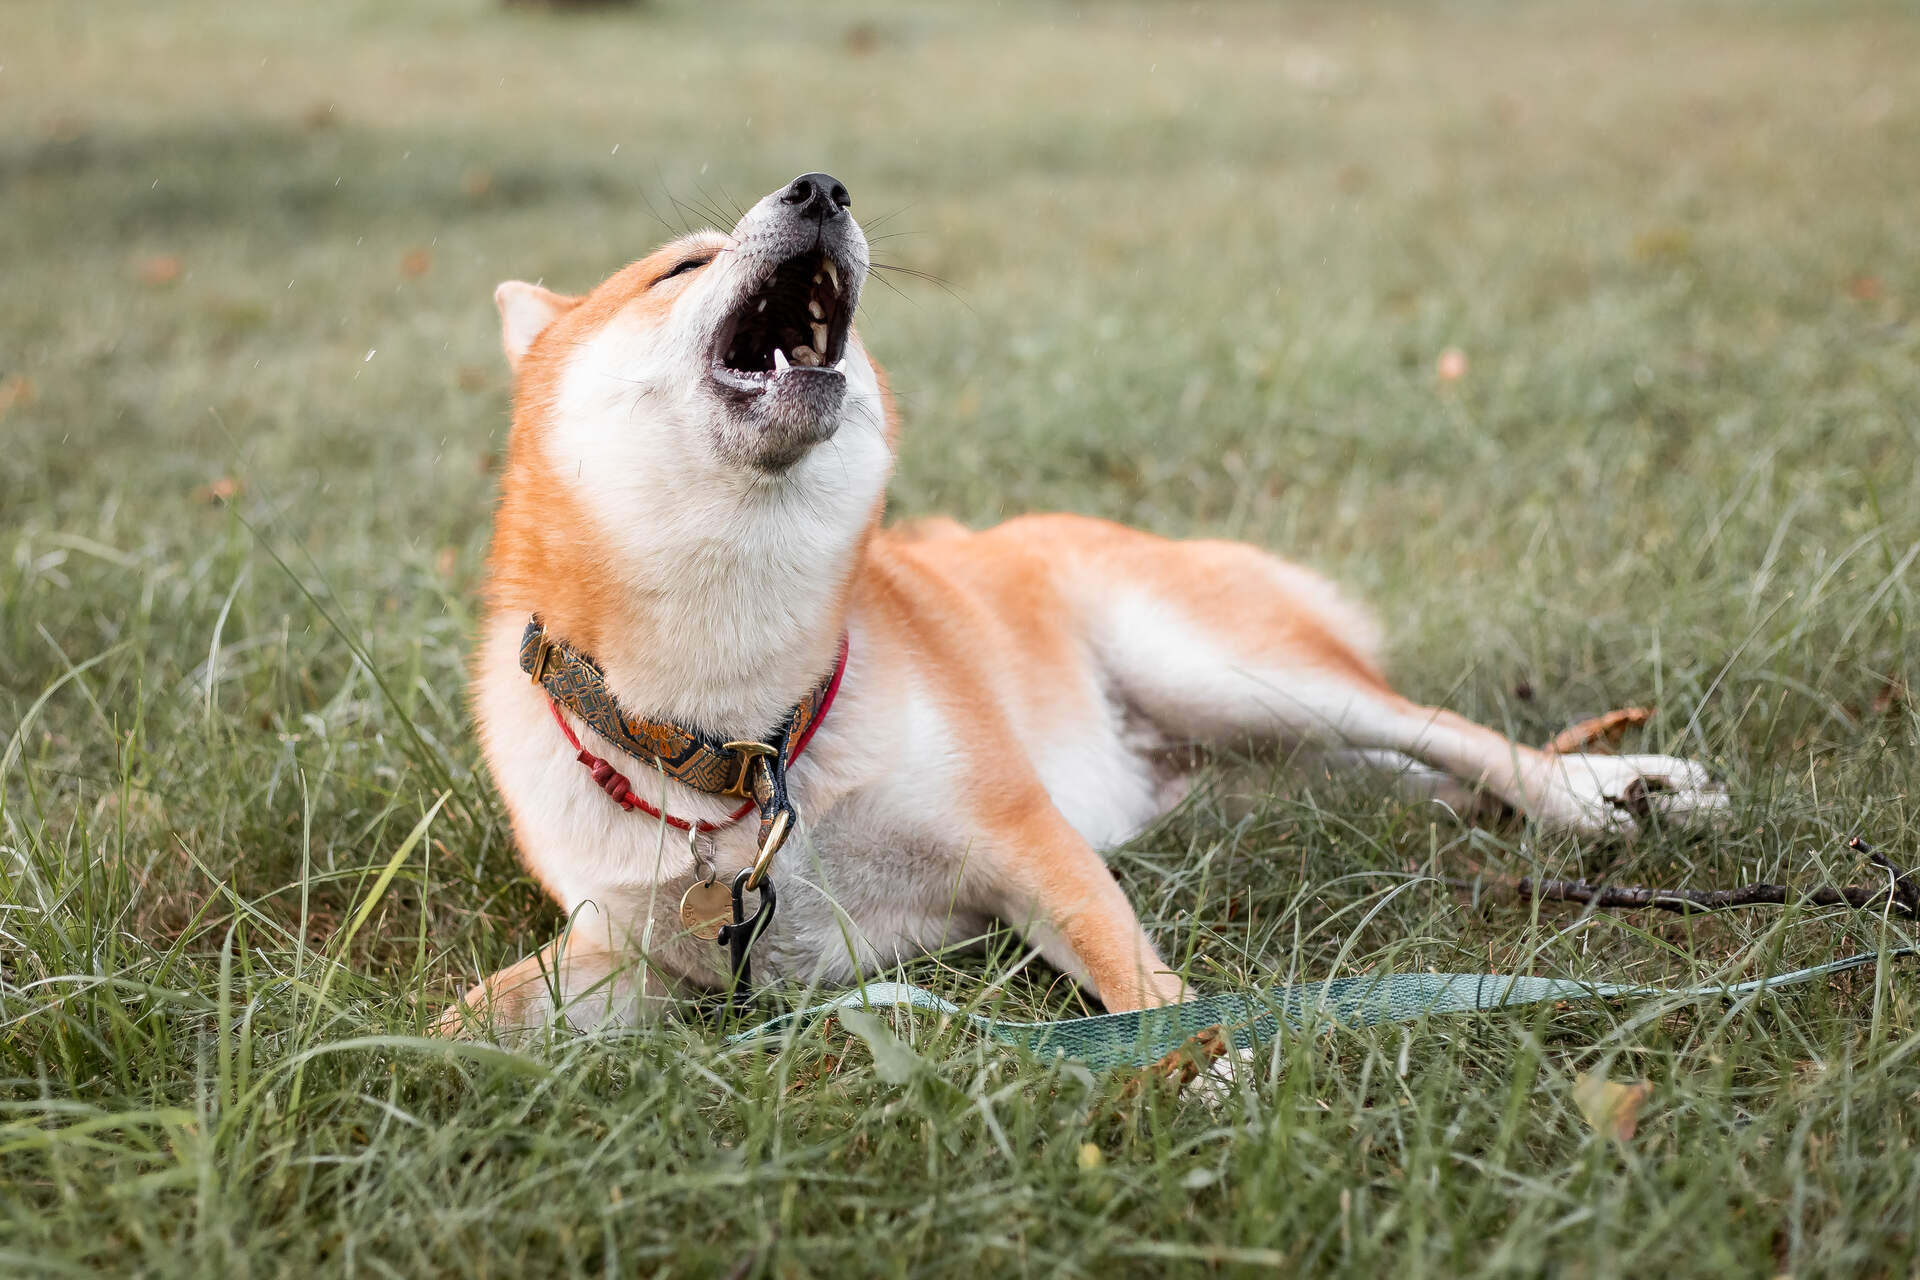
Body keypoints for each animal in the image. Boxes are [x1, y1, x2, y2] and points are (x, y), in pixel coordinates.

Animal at [435, 175, 1728, 1036]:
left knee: (1453, 734)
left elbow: (1134, 981)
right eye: (677, 267)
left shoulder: (1026, 840)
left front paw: (1197, 1066)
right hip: (1260, 754)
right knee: (1404, 773)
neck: (747, 745)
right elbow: (470, 1020)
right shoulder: (623, 944)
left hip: (1223, 671)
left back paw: (1598, 789)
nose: (821, 186)